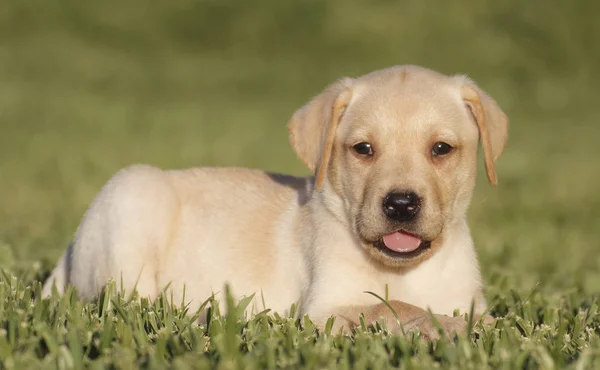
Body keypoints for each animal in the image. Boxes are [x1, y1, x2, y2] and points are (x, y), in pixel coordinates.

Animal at [42, 64, 506, 338]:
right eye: (363, 150)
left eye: (441, 149)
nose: (402, 204)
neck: (405, 269)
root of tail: (67, 255)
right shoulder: (324, 310)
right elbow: (392, 307)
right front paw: (451, 325)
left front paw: (472, 323)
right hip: (134, 196)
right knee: (131, 305)